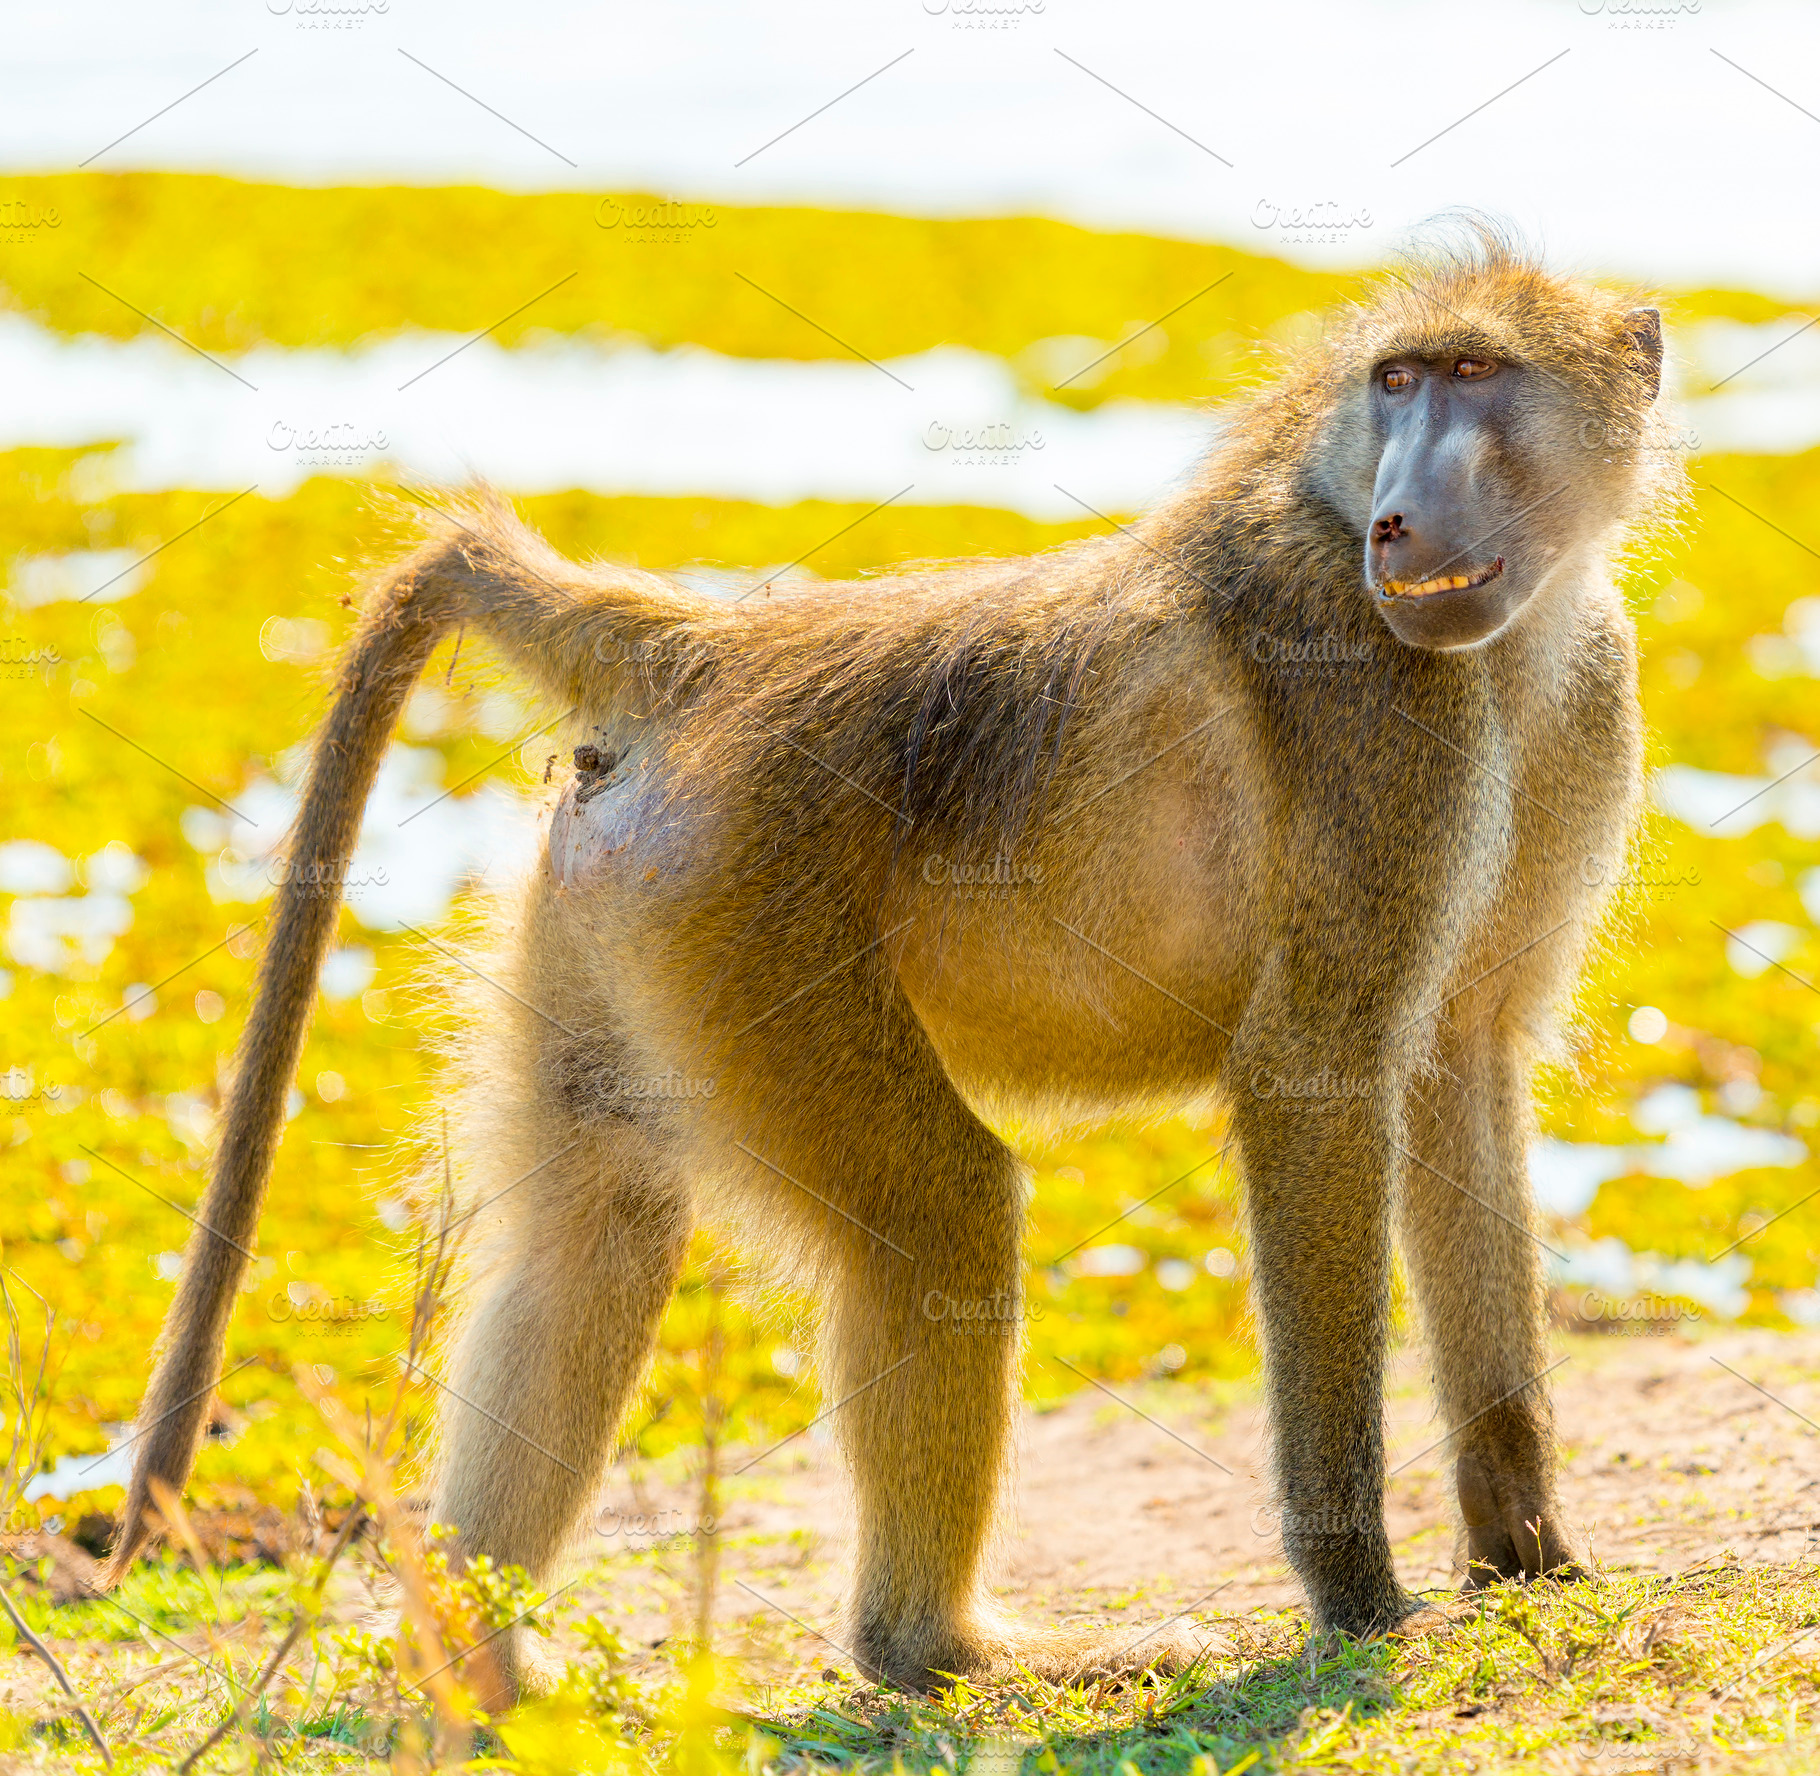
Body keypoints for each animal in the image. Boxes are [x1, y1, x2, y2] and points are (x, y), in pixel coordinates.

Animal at [108, 222, 1681, 1697]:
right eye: (1396, 381)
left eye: (1474, 370)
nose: (1401, 524)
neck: (1511, 640)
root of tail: (704, 654)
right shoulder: (1375, 718)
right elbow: (1315, 1072)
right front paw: (1359, 1603)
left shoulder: (1588, 691)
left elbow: (1464, 1063)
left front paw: (1528, 1552)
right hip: (743, 909)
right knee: (942, 1214)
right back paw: (939, 1648)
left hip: (630, 902)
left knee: (595, 1227)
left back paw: (478, 1665)